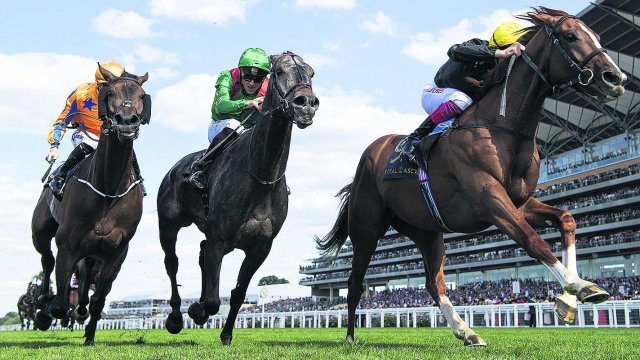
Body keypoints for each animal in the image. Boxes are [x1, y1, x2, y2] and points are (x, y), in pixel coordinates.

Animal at [31, 65, 150, 346]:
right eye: (111, 93)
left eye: (141, 95)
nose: (126, 121)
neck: (108, 188)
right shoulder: (67, 244)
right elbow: (61, 304)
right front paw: (46, 311)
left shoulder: (118, 251)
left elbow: (97, 300)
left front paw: (90, 337)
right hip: (40, 232)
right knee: (46, 259)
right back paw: (43, 302)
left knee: (86, 276)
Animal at [318, 7, 628, 346]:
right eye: (570, 36)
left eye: (596, 36)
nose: (616, 77)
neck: (505, 125)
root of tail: (369, 155)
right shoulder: (489, 199)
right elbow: (533, 240)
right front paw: (581, 287)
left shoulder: (519, 202)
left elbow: (567, 219)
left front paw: (569, 300)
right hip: (367, 229)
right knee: (355, 282)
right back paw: (349, 338)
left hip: (426, 230)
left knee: (434, 282)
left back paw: (466, 331)